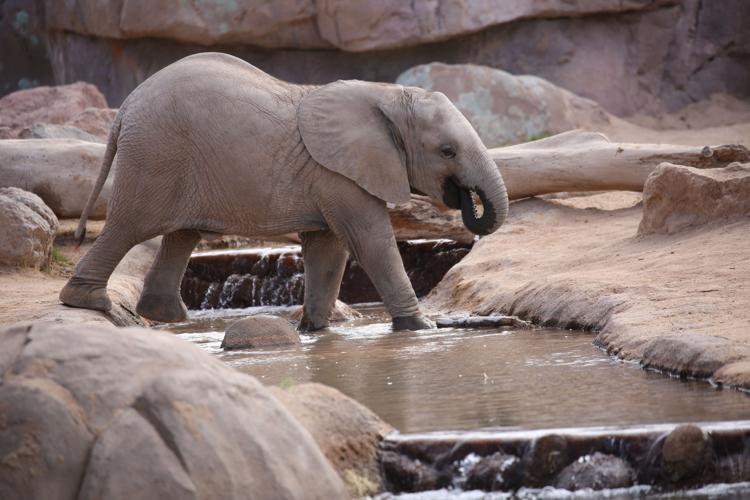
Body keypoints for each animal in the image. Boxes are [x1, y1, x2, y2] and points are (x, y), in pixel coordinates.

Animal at [60, 52, 512, 332]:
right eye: (447, 151)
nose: (464, 198)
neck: (385, 96)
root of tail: (124, 109)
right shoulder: (338, 173)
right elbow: (370, 242)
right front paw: (421, 328)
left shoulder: (333, 176)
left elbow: (329, 249)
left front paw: (314, 330)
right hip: (155, 155)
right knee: (130, 227)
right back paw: (93, 305)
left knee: (181, 235)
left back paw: (166, 317)